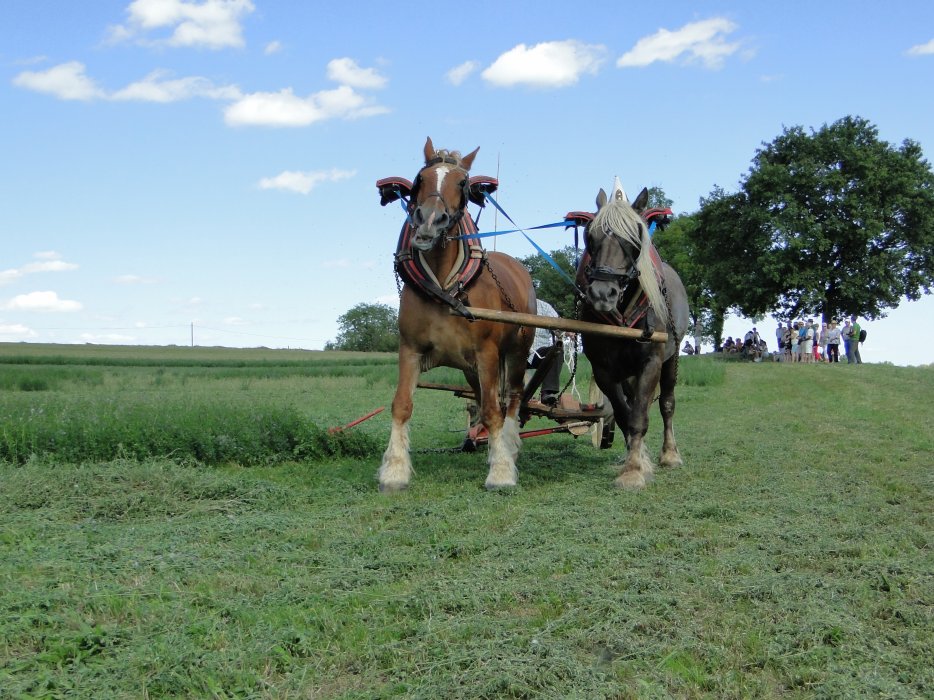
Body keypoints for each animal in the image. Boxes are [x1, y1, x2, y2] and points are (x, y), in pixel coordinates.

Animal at [380, 139, 536, 492]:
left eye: (462, 183)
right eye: (420, 178)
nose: (429, 221)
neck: (444, 286)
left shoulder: (487, 352)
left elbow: (493, 410)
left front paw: (501, 473)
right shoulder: (410, 349)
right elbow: (401, 404)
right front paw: (394, 471)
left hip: (516, 353)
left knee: (511, 399)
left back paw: (509, 447)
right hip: (470, 368)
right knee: (482, 398)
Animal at [580, 179, 692, 486]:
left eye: (634, 238)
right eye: (590, 236)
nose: (602, 293)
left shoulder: (651, 363)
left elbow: (640, 416)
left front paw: (633, 471)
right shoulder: (603, 370)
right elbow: (624, 415)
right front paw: (635, 459)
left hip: (671, 358)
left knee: (667, 404)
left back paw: (670, 454)